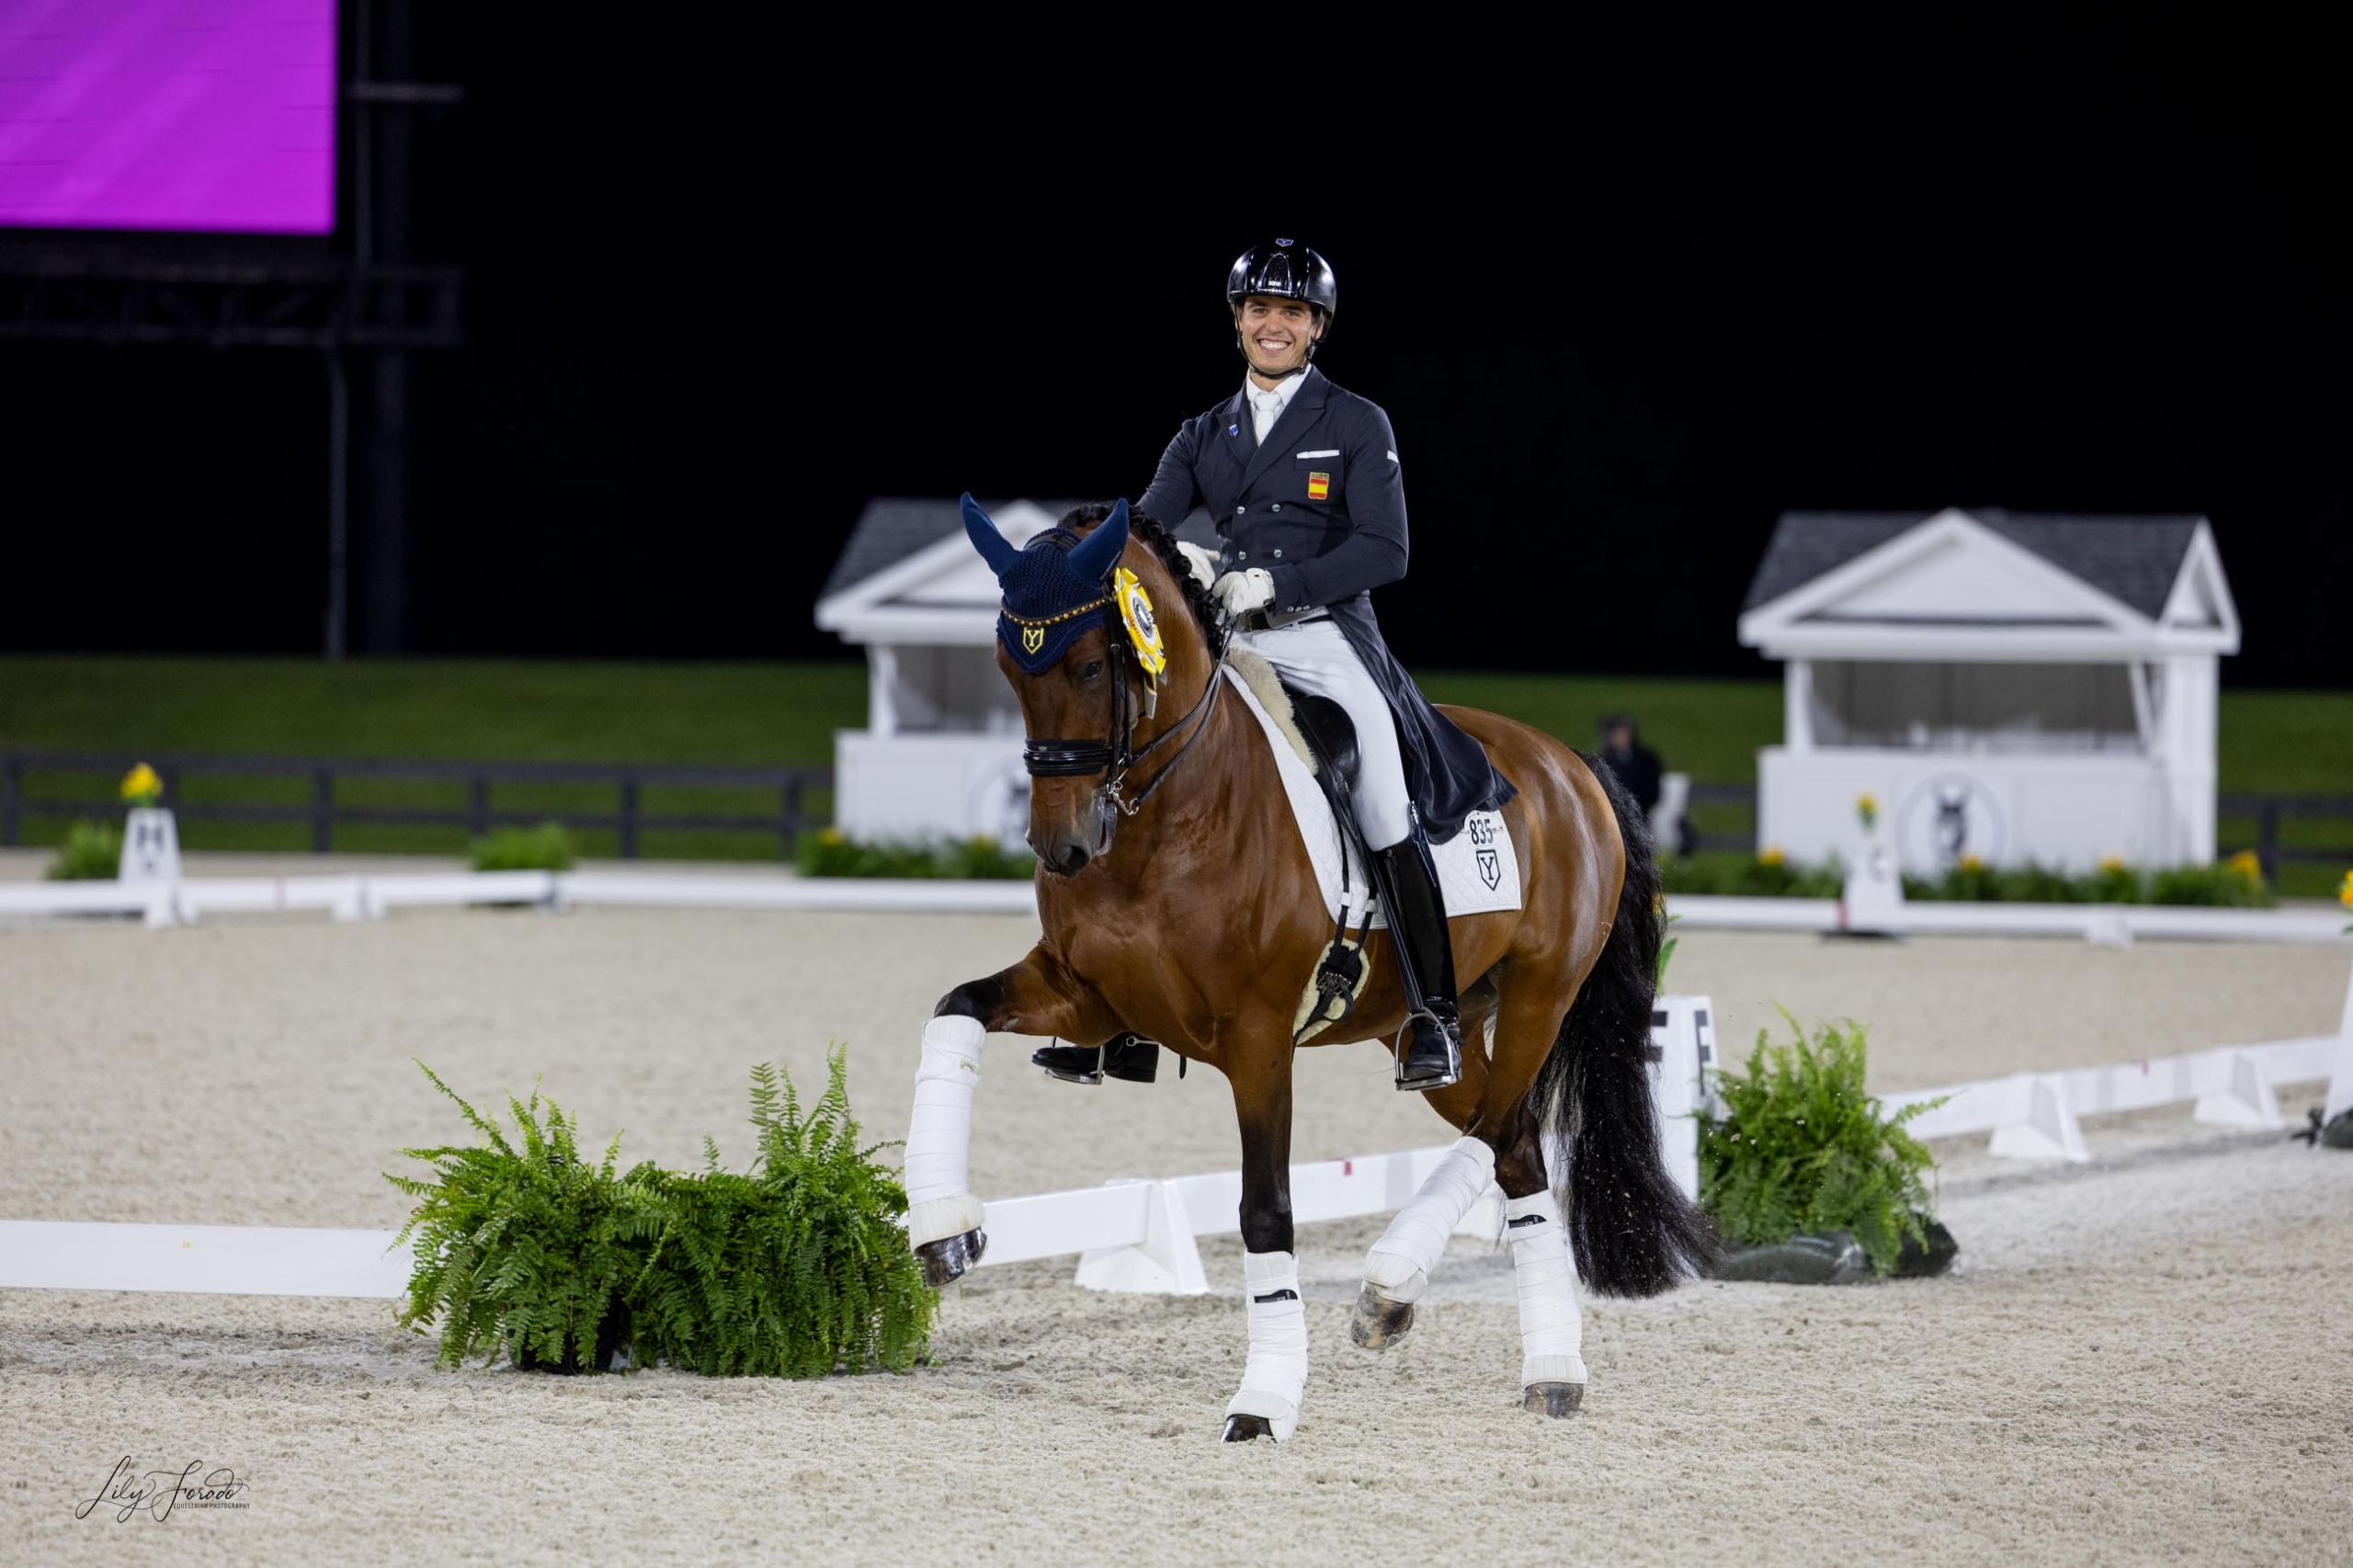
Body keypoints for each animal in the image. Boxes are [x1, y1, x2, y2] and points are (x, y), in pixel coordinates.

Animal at [898, 494, 1712, 1431]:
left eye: (1094, 667)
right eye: (1008, 665)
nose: (1061, 847)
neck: (1174, 812)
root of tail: (1574, 767)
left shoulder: (1258, 1041)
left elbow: (1265, 1211)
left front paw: (1264, 1400)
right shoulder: (1090, 995)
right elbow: (954, 1010)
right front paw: (944, 1230)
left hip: (1542, 998)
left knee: (1500, 1128)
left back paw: (1402, 1284)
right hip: (1435, 1025)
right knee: (1511, 1145)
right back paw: (1532, 1360)